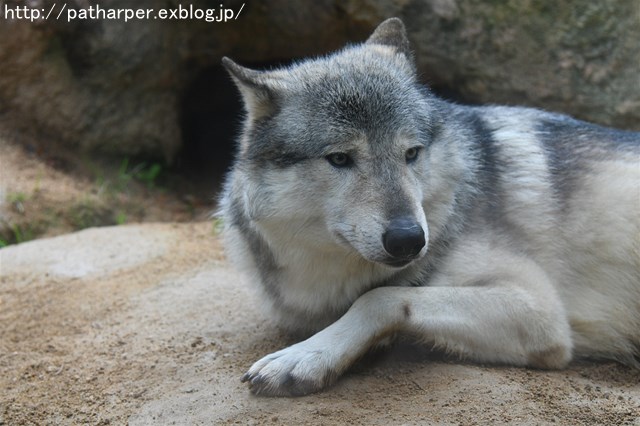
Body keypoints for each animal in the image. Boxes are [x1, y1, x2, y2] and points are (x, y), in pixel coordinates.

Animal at [220, 16, 640, 396]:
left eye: (411, 153)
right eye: (339, 158)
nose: (408, 239)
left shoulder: (539, 311)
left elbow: (379, 298)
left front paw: (306, 356)